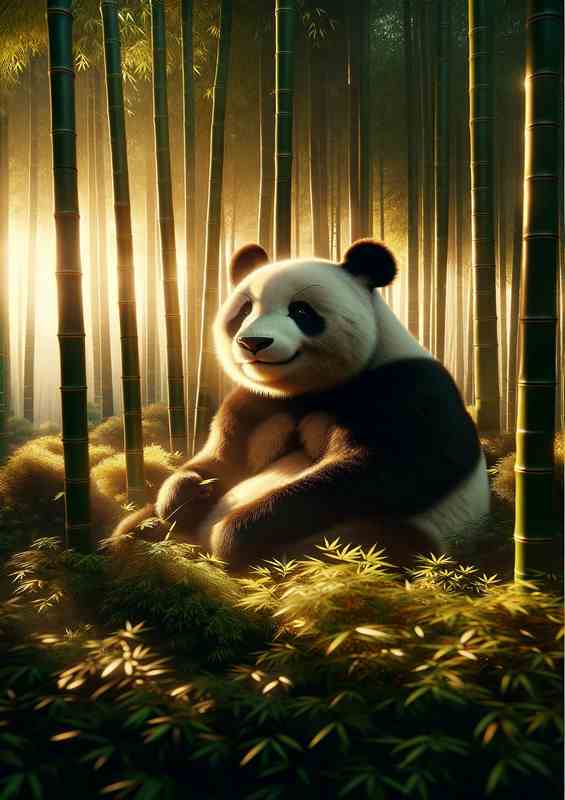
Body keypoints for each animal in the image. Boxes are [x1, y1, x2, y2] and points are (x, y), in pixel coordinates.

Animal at [111, 239, 490, 573]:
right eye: (244, 311)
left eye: (301, 311)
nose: (253, 342)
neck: (307, 389)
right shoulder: (256, 403)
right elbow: (220, 458)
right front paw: (187, 493)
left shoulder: (410, 389)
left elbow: (384, 470)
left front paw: (231, 535)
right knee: (137, 528)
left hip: (375, 538)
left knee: (388, 546)